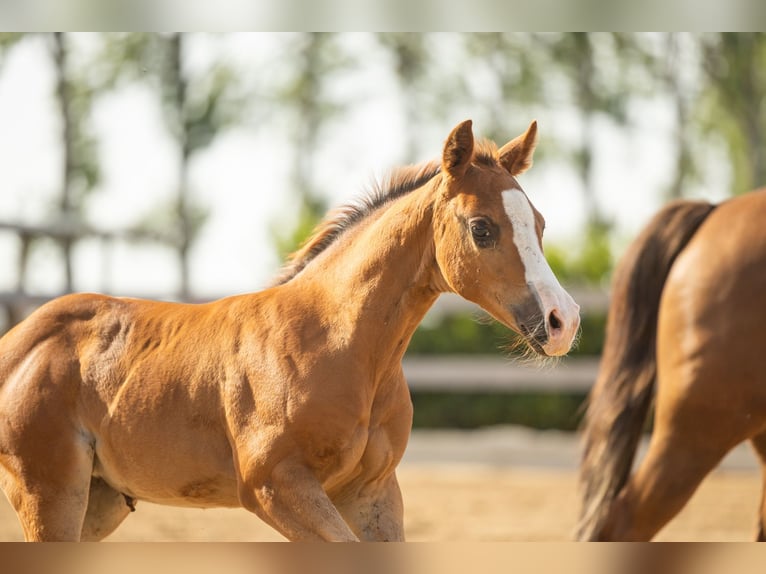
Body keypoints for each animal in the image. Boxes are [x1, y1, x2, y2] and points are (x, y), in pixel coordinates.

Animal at [0, 119, 580, 541]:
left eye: (540, 224)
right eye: (482, 228)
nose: (563, 320)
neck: (338, 346)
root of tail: (18, 344)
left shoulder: (372, 493)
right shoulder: (274, 487)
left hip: (97, 503)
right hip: (50, 493)